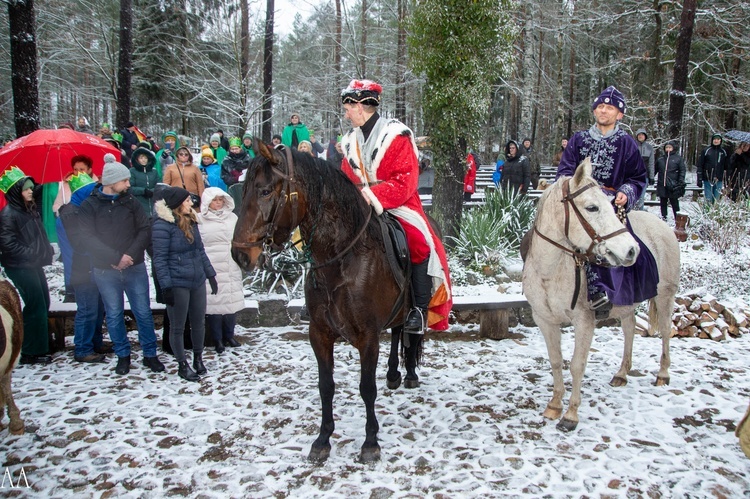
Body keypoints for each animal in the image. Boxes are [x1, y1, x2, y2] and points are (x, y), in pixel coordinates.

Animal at [232, 142, 426, 464]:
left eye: (265, 191)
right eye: (243, 190)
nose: (239, 255)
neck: (340, 259)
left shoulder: (368, 337)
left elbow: (366, 388)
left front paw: (370, 441)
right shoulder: (319, 334)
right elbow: (326, 386)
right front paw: (323, 439)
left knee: (411, 332)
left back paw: (409, 371)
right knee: (398, 331)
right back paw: (393, 373)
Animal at [524, 158, 680, 432]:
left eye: (609, 204)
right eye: (592, 207)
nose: (631, 250)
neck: (550, 270)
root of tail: (663, 226)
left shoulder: (584, 321)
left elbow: (576, 365)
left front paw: (571, 415)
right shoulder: (544, 320)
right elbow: (556, 361)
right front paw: (554, 405)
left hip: (665, 296)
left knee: (665, 331)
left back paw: (663, 374)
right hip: (629, 304)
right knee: (629, 329)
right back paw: (621, 374)